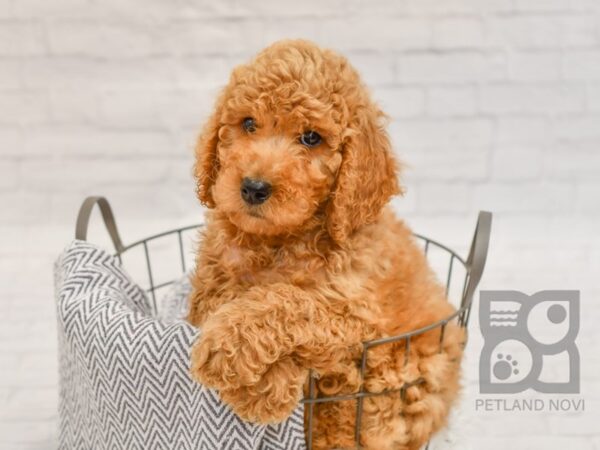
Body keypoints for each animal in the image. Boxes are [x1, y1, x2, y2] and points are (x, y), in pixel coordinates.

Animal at [188, 39, 464, 450]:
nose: (253, 187)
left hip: (390, 376)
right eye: (248, 124)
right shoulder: (211, 280)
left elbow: (292, 301)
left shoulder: (358, 314)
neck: (282, 240)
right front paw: (265, 383)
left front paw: (236, 359)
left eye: (311, 138)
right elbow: (228, 299)